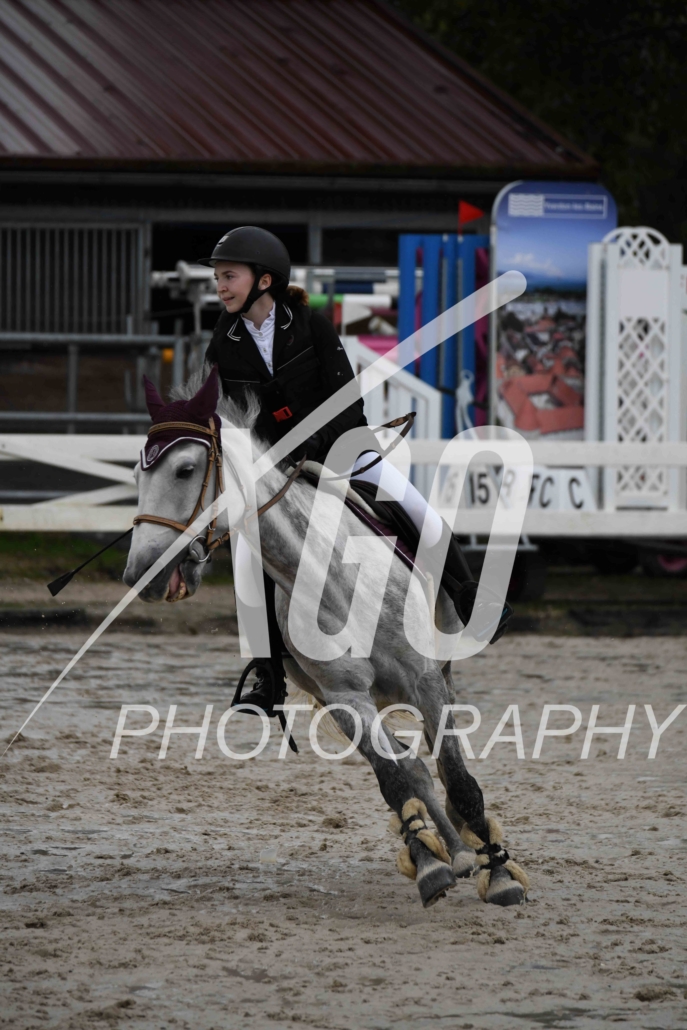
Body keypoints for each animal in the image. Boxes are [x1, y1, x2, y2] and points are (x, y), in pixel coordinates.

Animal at [123, 368, 529, 909]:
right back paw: (454, 852)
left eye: (185, 470)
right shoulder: (344, 697)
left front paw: (500, 874)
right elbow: (396, 779)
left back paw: (469, 844)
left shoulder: (424, 680)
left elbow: (458, 776)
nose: (142, 574)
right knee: (412, 766)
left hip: (437, 671)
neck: (332, 575)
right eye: (137, 474)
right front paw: (429, 866)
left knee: (441, 762)